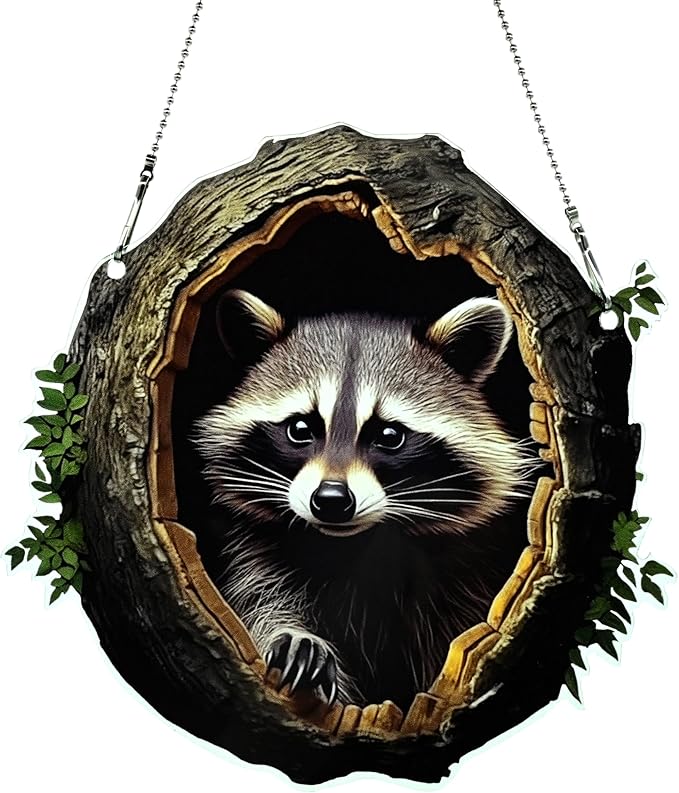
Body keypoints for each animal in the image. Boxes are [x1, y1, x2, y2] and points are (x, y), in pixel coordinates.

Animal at [192, 289, 536, 710]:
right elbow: (258, 601)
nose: (331, 499)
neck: (353, 544)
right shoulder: (251, 546)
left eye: (389, 435)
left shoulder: (466, 567)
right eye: (300, 428)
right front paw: (293, 638)